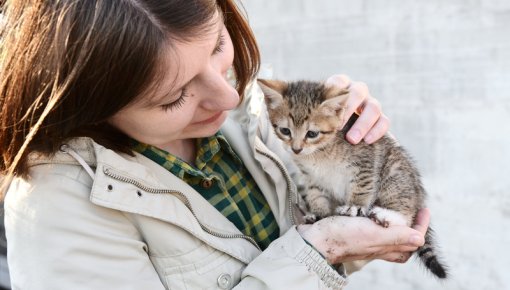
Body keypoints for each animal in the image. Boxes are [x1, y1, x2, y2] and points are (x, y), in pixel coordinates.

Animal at [258, 78, 446, 278]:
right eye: (285, 131)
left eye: (312, 134)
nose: (296, 149)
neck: (319, 152)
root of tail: (419, 197)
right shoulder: (311, 177)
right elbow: (315, 195)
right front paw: (319, 214)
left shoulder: (365, 160)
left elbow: (362, 186)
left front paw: (354, 206)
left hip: (395, 174)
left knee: (408, 217)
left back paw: (386, 215)